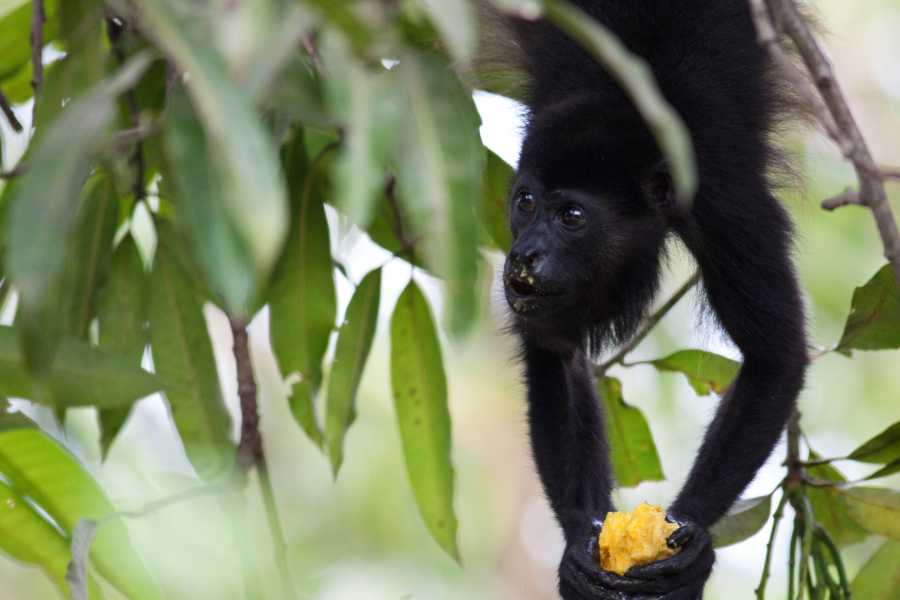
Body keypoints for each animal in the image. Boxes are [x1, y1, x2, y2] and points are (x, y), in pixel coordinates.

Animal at [489, 1, 809, 598]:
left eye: (571, 216)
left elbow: (775, 356)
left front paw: (690, 541)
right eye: (525, 202)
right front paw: (579, 543)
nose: (524, 254)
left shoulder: (725, 203)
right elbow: (554, 354)